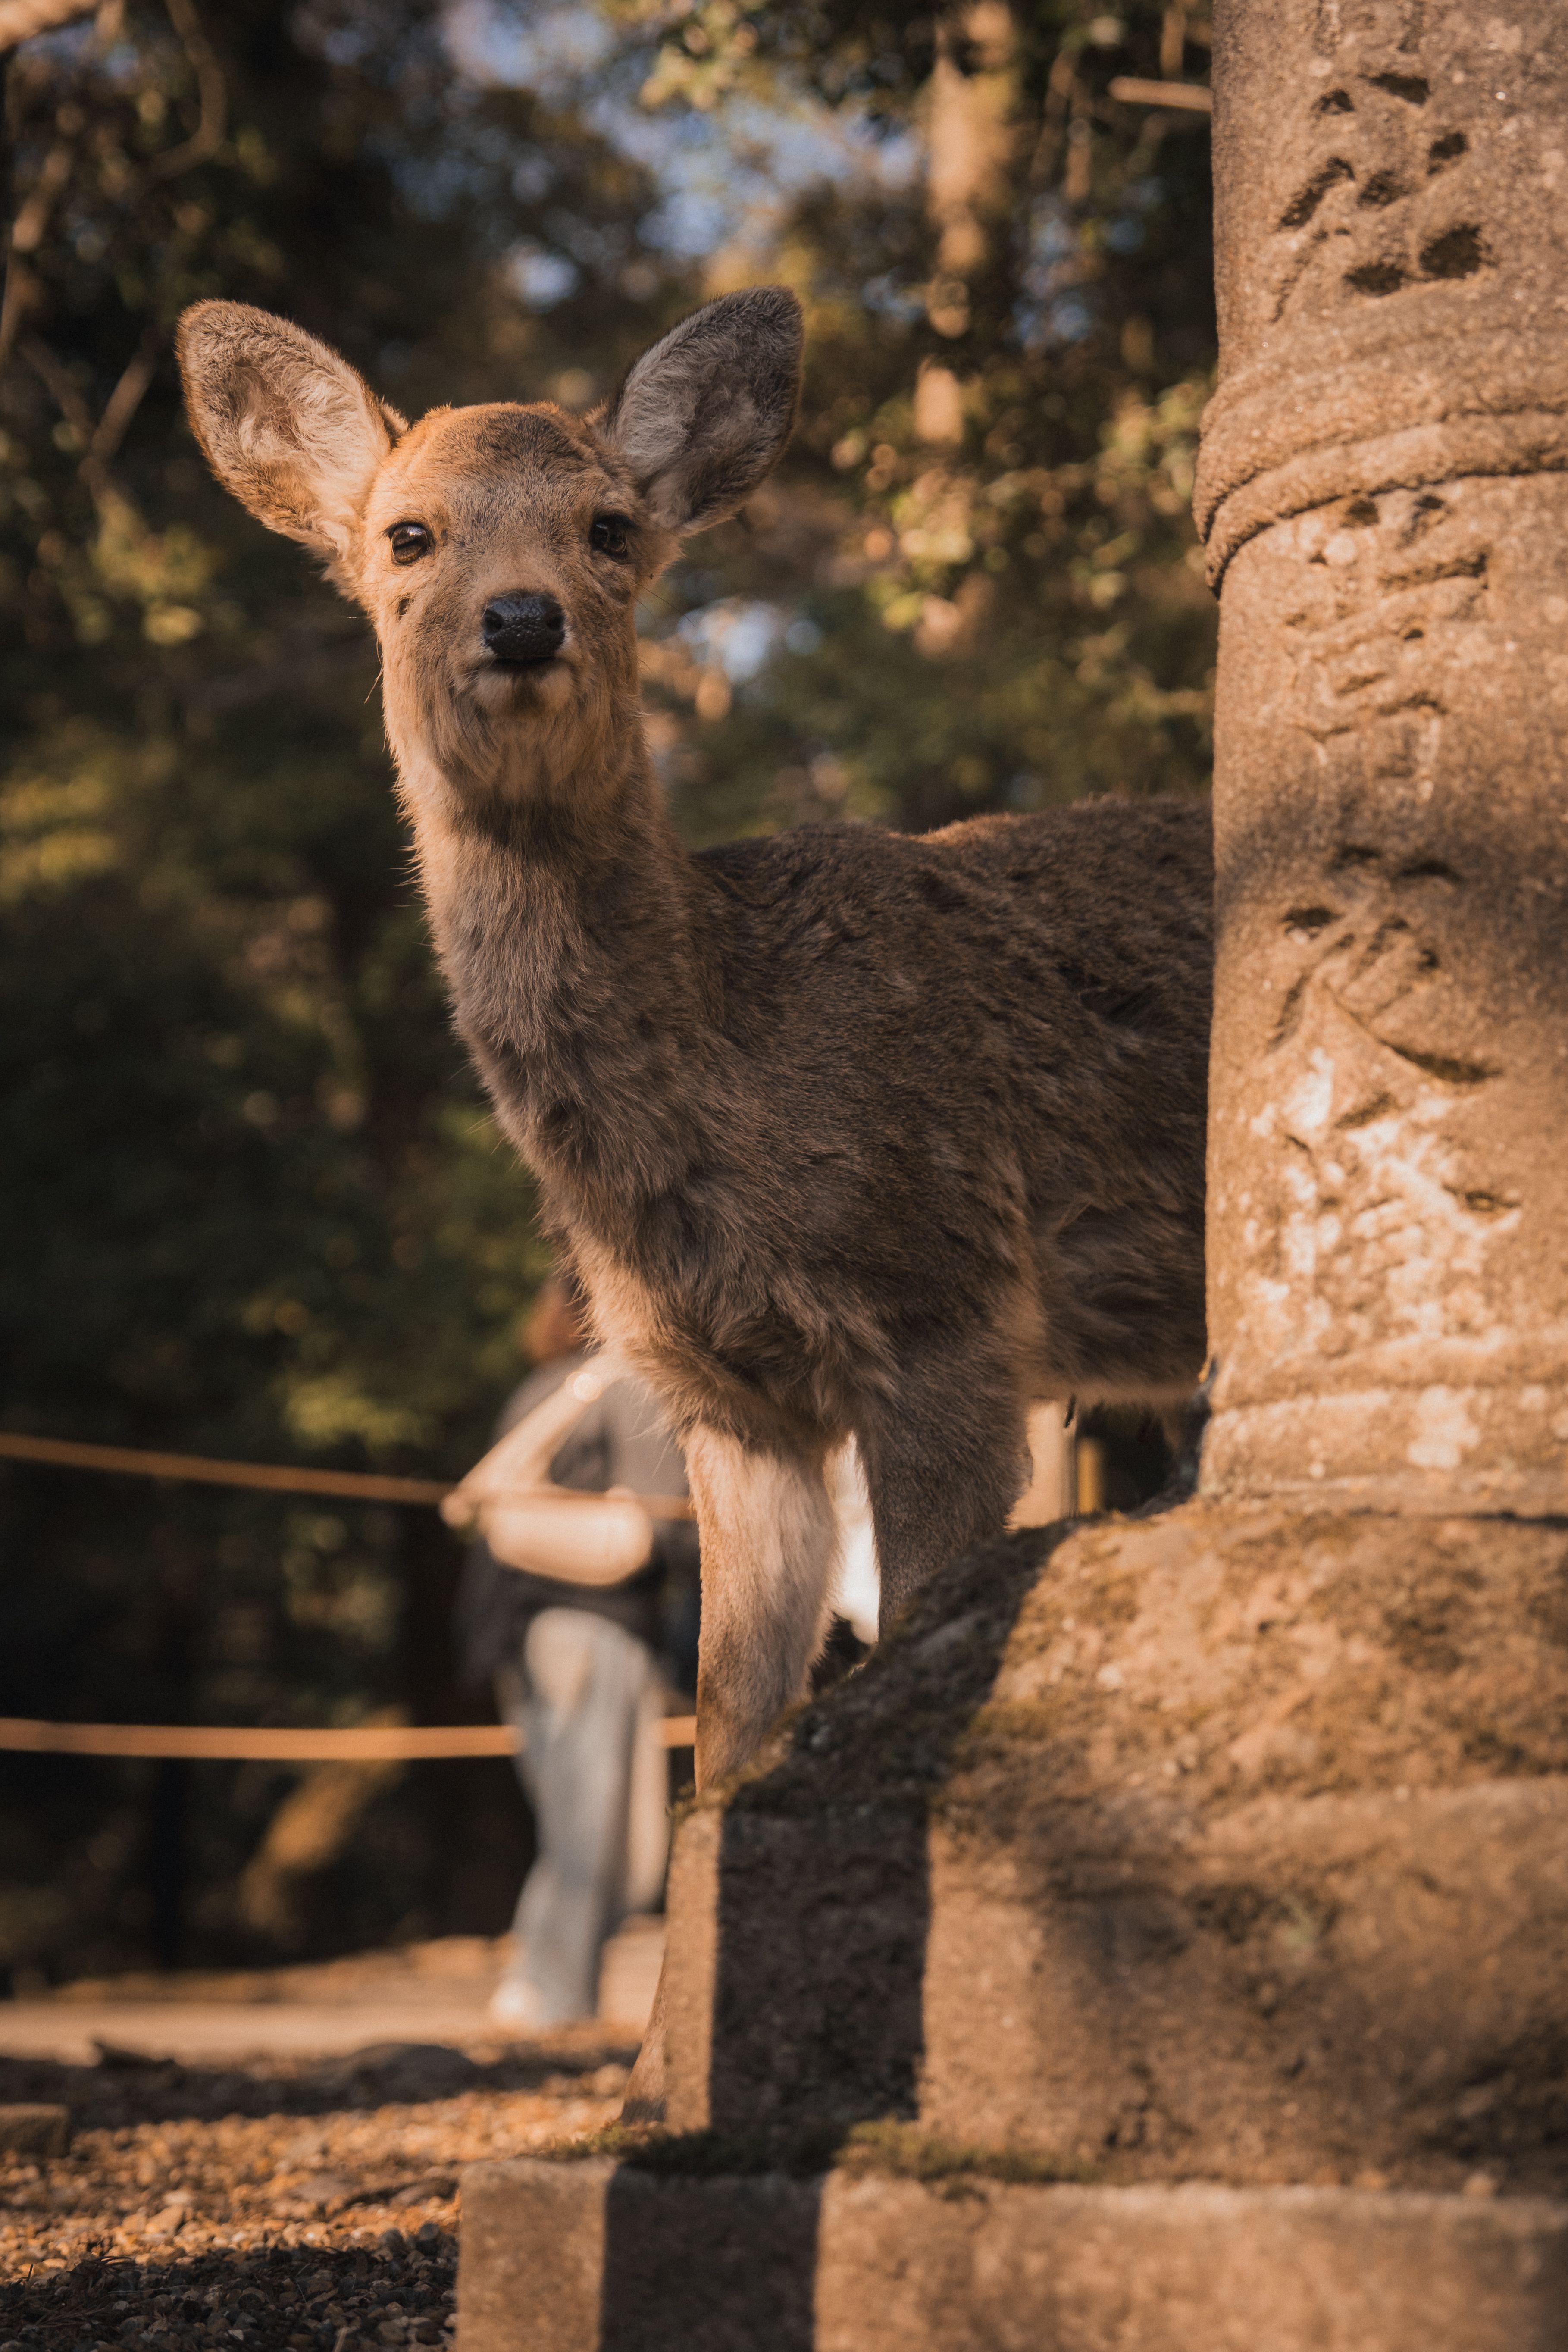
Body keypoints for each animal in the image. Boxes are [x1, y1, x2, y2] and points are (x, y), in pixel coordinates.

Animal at [178, 287, 1212, 2110]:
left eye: (611, 528)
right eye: (406, 535)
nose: (520, 620)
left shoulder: (946, 1302)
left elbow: (908, 1654)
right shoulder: (728, 1397)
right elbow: (727, 1736)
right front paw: (661, 2087)